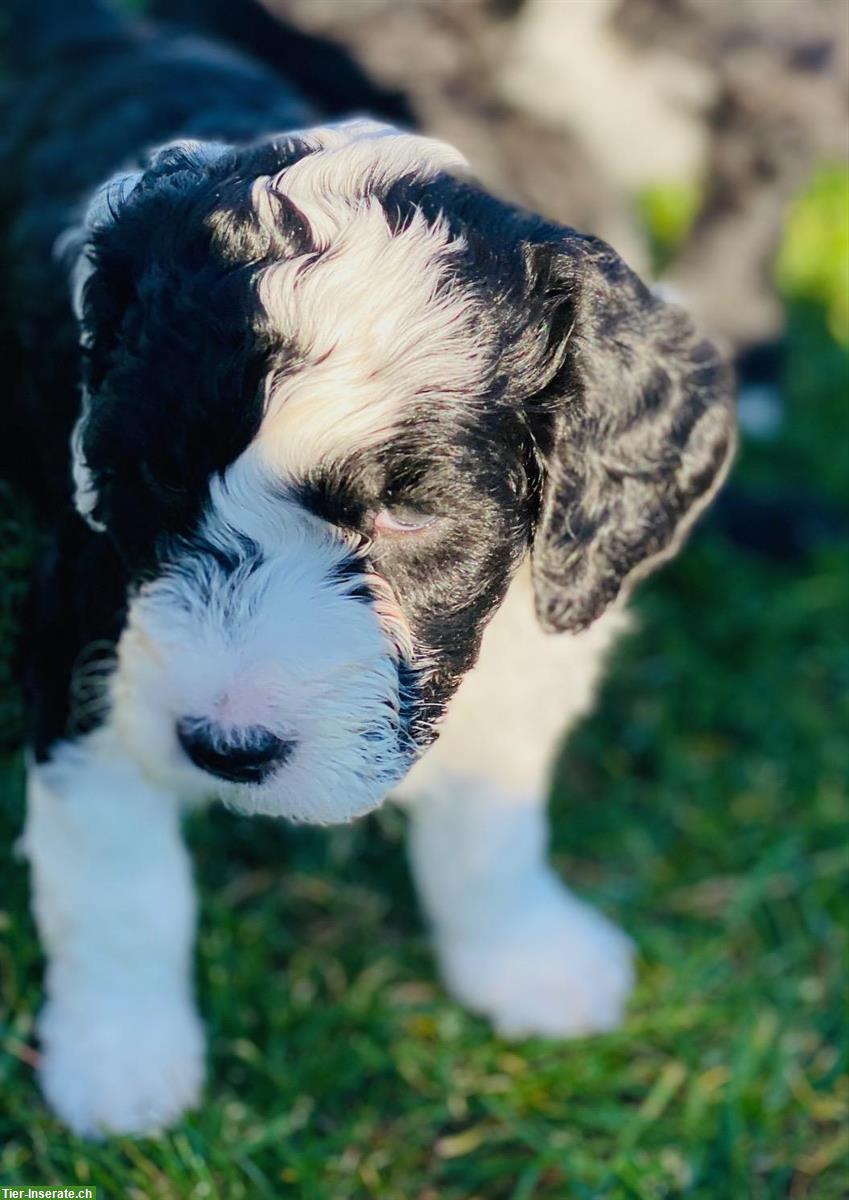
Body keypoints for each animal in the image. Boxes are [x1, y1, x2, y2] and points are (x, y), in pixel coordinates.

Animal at [0, 0, 733, 1132]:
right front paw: (121, 1066)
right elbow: (120, 876)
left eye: (403, 515)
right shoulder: (83, 634)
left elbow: (491, 815)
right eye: (157, 477)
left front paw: (523, 959)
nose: (223, 748)